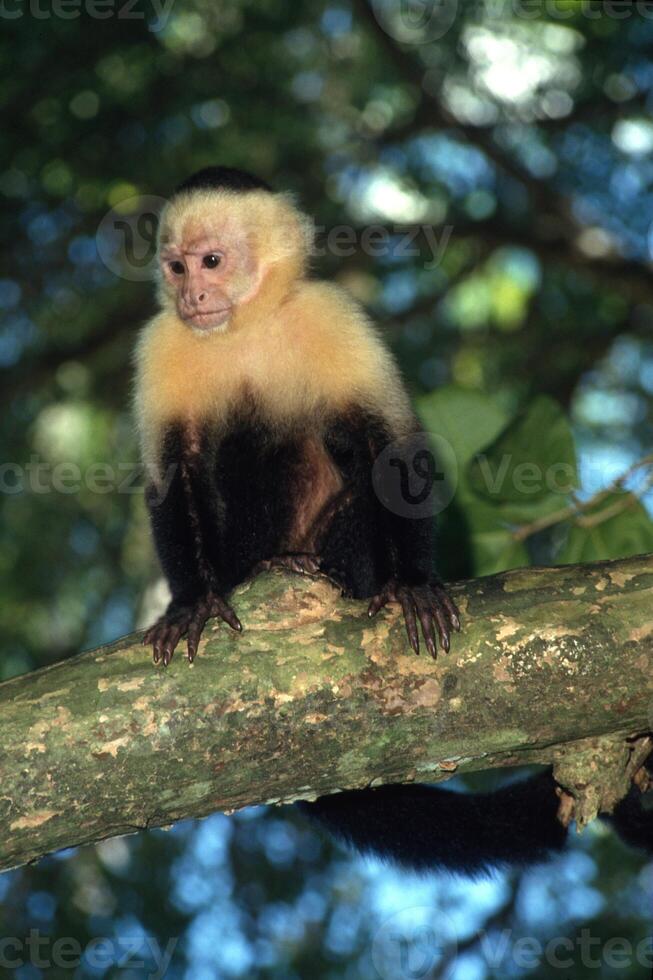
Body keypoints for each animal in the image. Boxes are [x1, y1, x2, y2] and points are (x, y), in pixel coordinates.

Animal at [134, 167, 652, 872]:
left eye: (211, 261)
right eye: (176, 265)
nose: (192, 295)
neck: (246, 328)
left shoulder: (334, 318)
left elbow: (388, 446)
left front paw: (411, 584)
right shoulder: (162, 344)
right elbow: (173, 474)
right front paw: (191, 602)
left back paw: (348, 579)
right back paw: (267, 566)